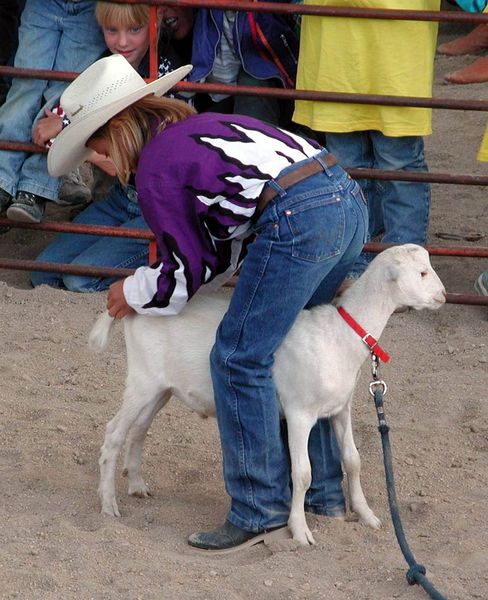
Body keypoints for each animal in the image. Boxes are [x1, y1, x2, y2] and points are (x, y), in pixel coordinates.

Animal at [88, 243, 446, 544]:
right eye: (422, 273)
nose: (443, 295)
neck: (339, 334)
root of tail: (130, 310)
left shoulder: (339, 409)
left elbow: (353, 460)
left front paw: (367, 516)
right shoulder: (300, 413)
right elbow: (302, 473)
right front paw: (299, 531)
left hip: (160, 388)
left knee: (139, 429)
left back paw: (137, 486)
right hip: (142, 381)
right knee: (114, 433)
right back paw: (108, 506)